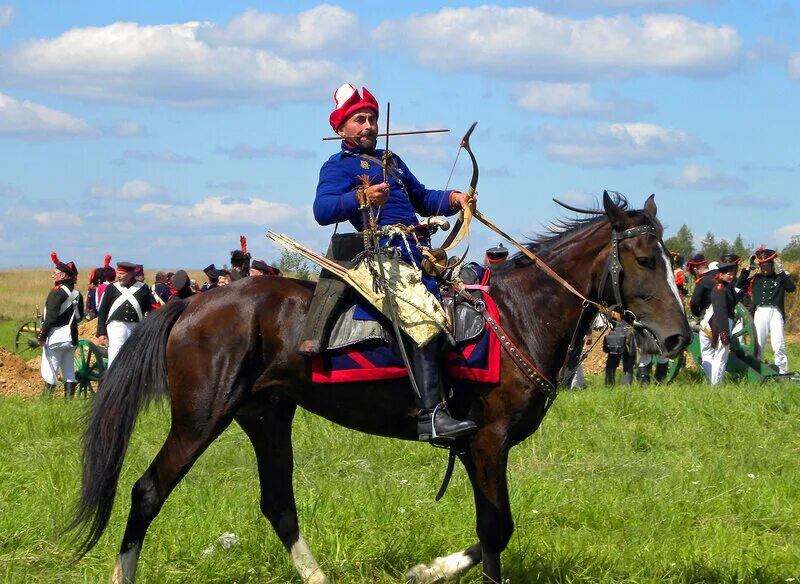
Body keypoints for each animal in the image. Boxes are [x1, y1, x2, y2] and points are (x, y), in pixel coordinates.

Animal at [70, 194, 692, 580]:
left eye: (671, 260)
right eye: (643, 259)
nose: (678, 337)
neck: (520, 316)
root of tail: (192, 304)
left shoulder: (475, 450)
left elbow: (491, 532)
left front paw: (426, 569)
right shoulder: (487, 443)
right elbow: (497, 528)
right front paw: (434, 569)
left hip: (266, 417)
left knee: (278, 505)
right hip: (201, 420)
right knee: (147, 491)